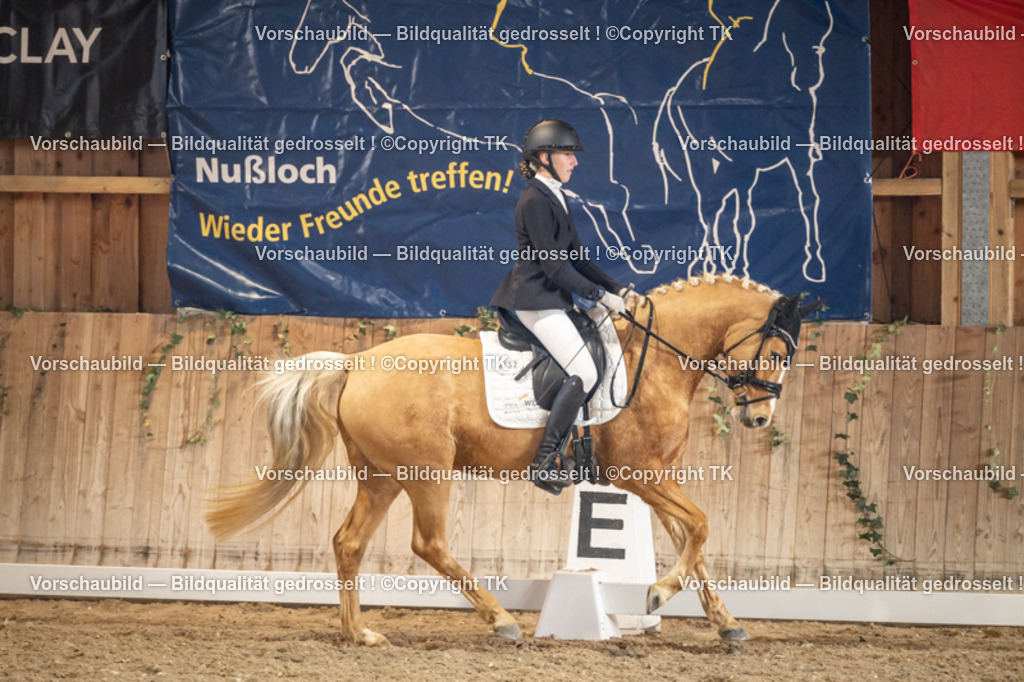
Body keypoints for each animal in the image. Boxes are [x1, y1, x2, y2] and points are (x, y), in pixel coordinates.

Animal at [207, 274, 815, 645]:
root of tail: (356, 362)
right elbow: (702, 525)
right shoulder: (639, 473)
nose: (759, 420)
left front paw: (727, 624)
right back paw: (500, 620)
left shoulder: (658, 476)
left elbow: (695, 541)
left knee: (349, 543)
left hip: (382, 475)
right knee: (428, 543)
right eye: (777, 350)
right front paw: (658, 593)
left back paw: (360, 633)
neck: (656, 359)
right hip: (426, 472)